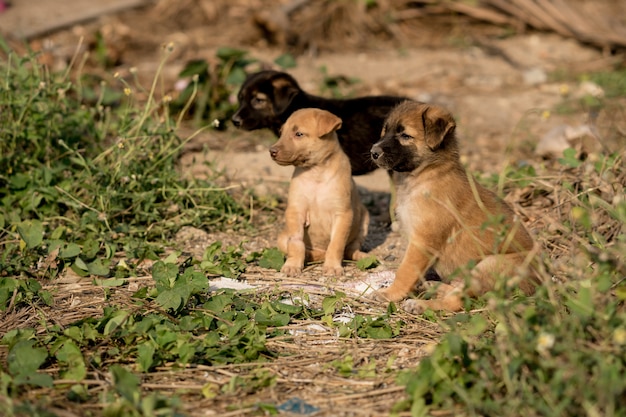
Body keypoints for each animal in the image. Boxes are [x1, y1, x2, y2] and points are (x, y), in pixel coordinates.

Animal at [270, 109, 368, 274]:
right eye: (281, 132)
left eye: (299, 134)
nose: (271, 151)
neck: (317, 173)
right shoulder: (296, 210)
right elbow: (296, 243)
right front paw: (292, 265)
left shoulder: (343, 214)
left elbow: (336, 244)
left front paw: (333, 267)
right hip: (282, 237)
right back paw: (310, 255)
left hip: (365, 220)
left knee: (350, 249)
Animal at [368, 101, 540, 312]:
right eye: (385, 131)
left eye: (405, 135)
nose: (374, 152)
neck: (427, 174)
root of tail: (539, 286)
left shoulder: (423, 240)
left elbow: (405, 270)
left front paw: (390, 294)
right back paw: (434, 287)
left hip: (490, 264)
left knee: (457, 301)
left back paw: (421, 304)